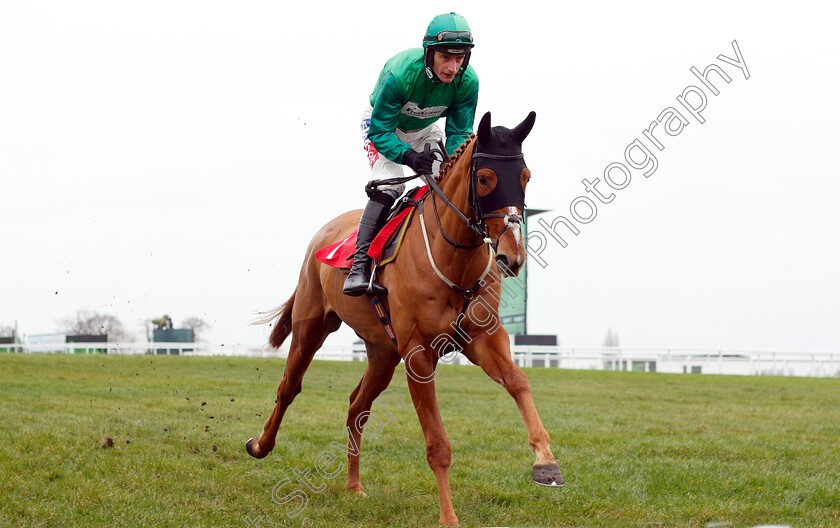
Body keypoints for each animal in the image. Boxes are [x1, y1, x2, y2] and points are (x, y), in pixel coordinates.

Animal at [249, 110, 564, 524]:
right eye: (484, 179)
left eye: (526, 176)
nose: (512, 257)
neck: (453, 259)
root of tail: (325, 233)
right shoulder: (418, 353)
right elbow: (437, 444)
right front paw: (449, 517)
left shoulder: (484, 338)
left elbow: (518, 381)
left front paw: (546, 461)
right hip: (311, 327)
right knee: (289, 388)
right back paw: (260, 445)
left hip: (383, 352)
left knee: (357, 407)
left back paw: (354, 486)